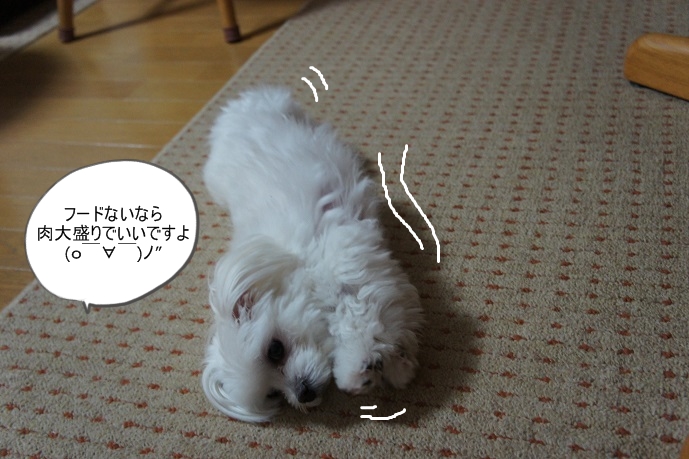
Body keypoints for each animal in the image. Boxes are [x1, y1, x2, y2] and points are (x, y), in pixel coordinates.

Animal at [202, 87, 423, 422]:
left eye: (275, 350)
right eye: (272, 394)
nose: (303, 393)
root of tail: (233, 108)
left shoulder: (342, 263)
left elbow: (359, 318)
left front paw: (358, 366)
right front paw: (394, 365)